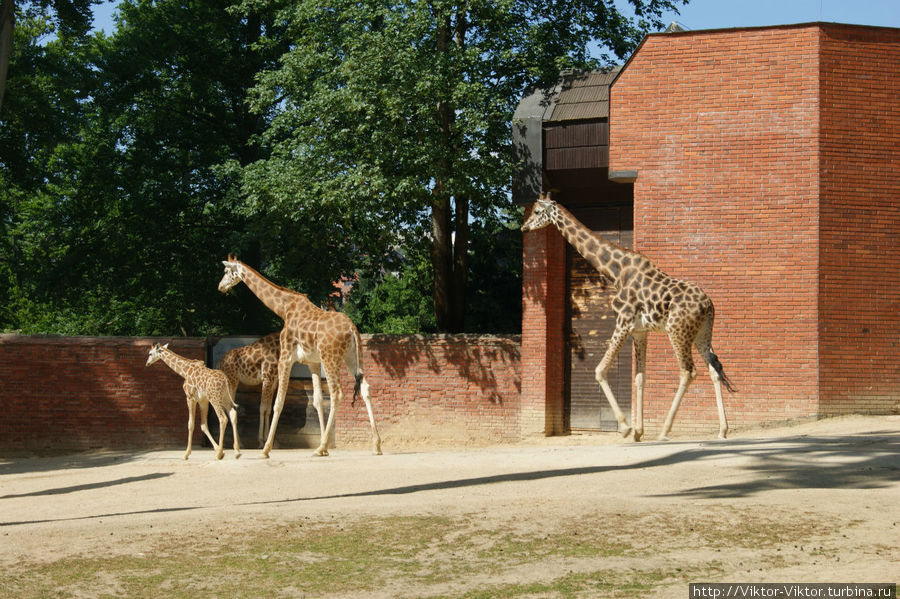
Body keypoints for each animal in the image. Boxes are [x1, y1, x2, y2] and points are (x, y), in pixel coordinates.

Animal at [219, 254, 384, 460]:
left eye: (226, 271)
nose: (221, 287)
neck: (283, 309)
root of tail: (352, 329)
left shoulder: (286, 358)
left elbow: (278, 402)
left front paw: (266, 449)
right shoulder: (312, 362)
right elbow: (318, 400)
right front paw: (325, 447)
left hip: (331, 358)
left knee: (337, 393)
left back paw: (319, 448)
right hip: (351, 357)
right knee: (365, 388)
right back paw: (376, 445)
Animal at [524, 195, 736, 442]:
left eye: (537, 211)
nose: (524, 227)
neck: (616, 271)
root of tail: (708, 305)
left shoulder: (623, 321)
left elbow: (600, 370)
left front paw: (625, 427)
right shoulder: (640, 330)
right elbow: (639, 377)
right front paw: (638, 432)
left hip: (678, 331)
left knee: (688, 371)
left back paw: (664, 431)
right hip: (702, 334)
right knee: (715, 369)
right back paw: (722, 430)